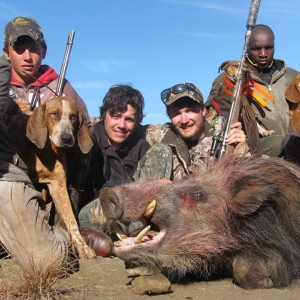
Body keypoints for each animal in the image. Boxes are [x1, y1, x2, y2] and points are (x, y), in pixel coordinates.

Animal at [7, 95, 95, 258]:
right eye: (54, 115)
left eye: (73, 117)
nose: (67, 138)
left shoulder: (58, 184)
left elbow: (71, 220)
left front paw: (83, 247)